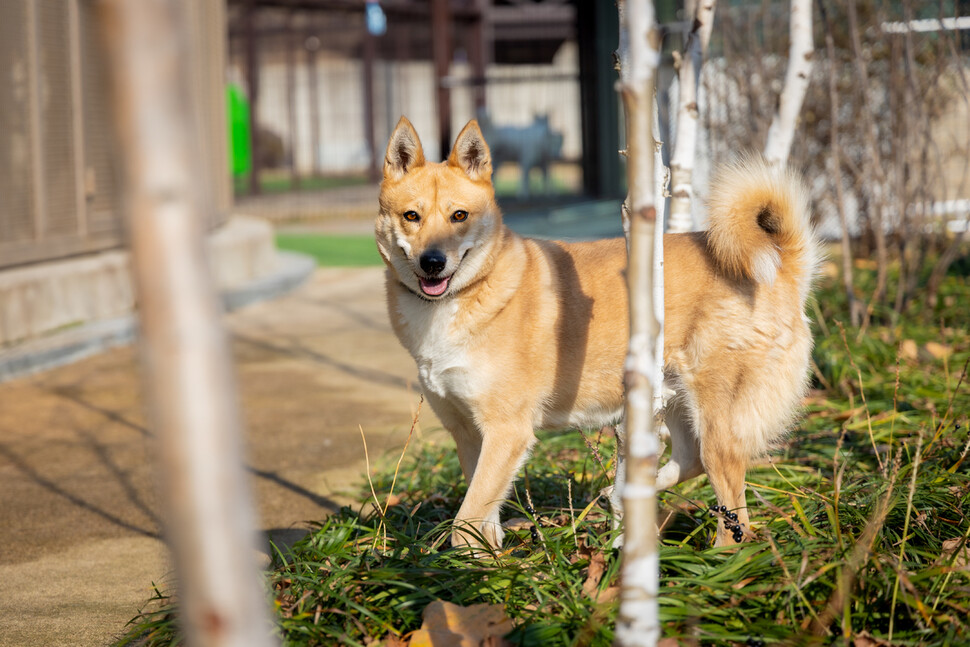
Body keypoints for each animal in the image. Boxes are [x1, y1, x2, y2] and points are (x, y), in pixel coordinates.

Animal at [374, 117, 812, 552]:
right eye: (411, 216)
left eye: (459, 215)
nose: (433, 262)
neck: (463, 297)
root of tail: (783, 262)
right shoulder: (468, 433)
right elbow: (483, 513)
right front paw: (491, 558)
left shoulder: (506, 431)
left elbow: (467, 517)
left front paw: (468, 561)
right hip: (674, 404)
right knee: (691, 461)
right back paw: (628, 494)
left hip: (719, 424)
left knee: (734, 513)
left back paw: (717, 555)